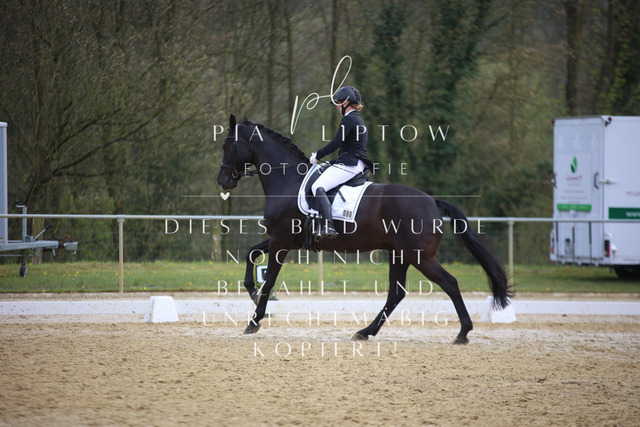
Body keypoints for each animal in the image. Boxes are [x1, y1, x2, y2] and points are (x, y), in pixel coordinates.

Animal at [217, 115, 512, 344]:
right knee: (396, 293)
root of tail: (431, 201)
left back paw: (463, 332)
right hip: (399, 254)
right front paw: (252, 294)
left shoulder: (280, 241)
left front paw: (254, 321)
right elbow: (252, 255)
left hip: (420, 257)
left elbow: (269, 280)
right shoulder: (281, 240)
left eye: (227, 145)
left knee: (449, 283)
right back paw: (365, 332)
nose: (222, 181)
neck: (287, 178)